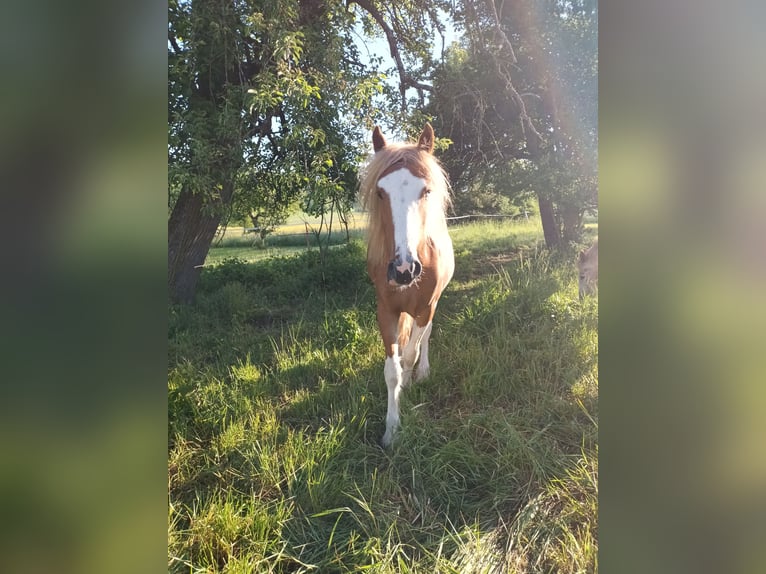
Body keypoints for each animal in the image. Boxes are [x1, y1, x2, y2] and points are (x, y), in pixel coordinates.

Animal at [360, 123, 455, 447]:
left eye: (425, 191)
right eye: (380, 192)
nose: (403, 270)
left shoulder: (426, 307)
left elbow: (412, 351)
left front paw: (412, 383)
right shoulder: (385, 311)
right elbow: (392, 369)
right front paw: (391, 428)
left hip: (432, 306)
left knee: (424, 337)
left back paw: (422, 372)